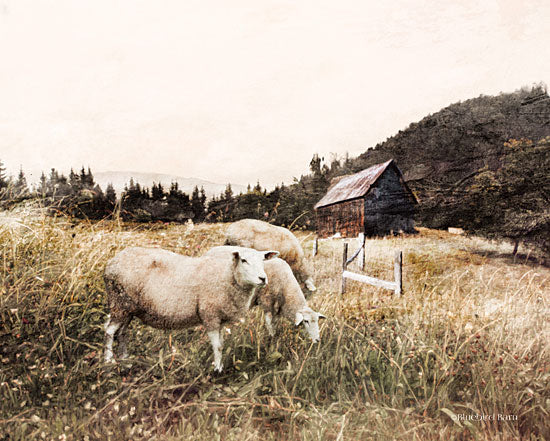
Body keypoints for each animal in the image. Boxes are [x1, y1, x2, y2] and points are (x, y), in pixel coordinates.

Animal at [102, 246, 280, 370]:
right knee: (109, 331)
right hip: (119, 302)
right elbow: (218, 346)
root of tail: (111, 262)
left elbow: (221, 344)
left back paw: (125, 360)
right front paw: (217, 370)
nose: (263, 279)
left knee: (122, 332)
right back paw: (108, 361)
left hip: (128, 308)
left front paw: (220, 365)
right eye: (243, 260)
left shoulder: (219, 319)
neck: (227, 276)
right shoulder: (210, 315)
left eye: (263, 260)